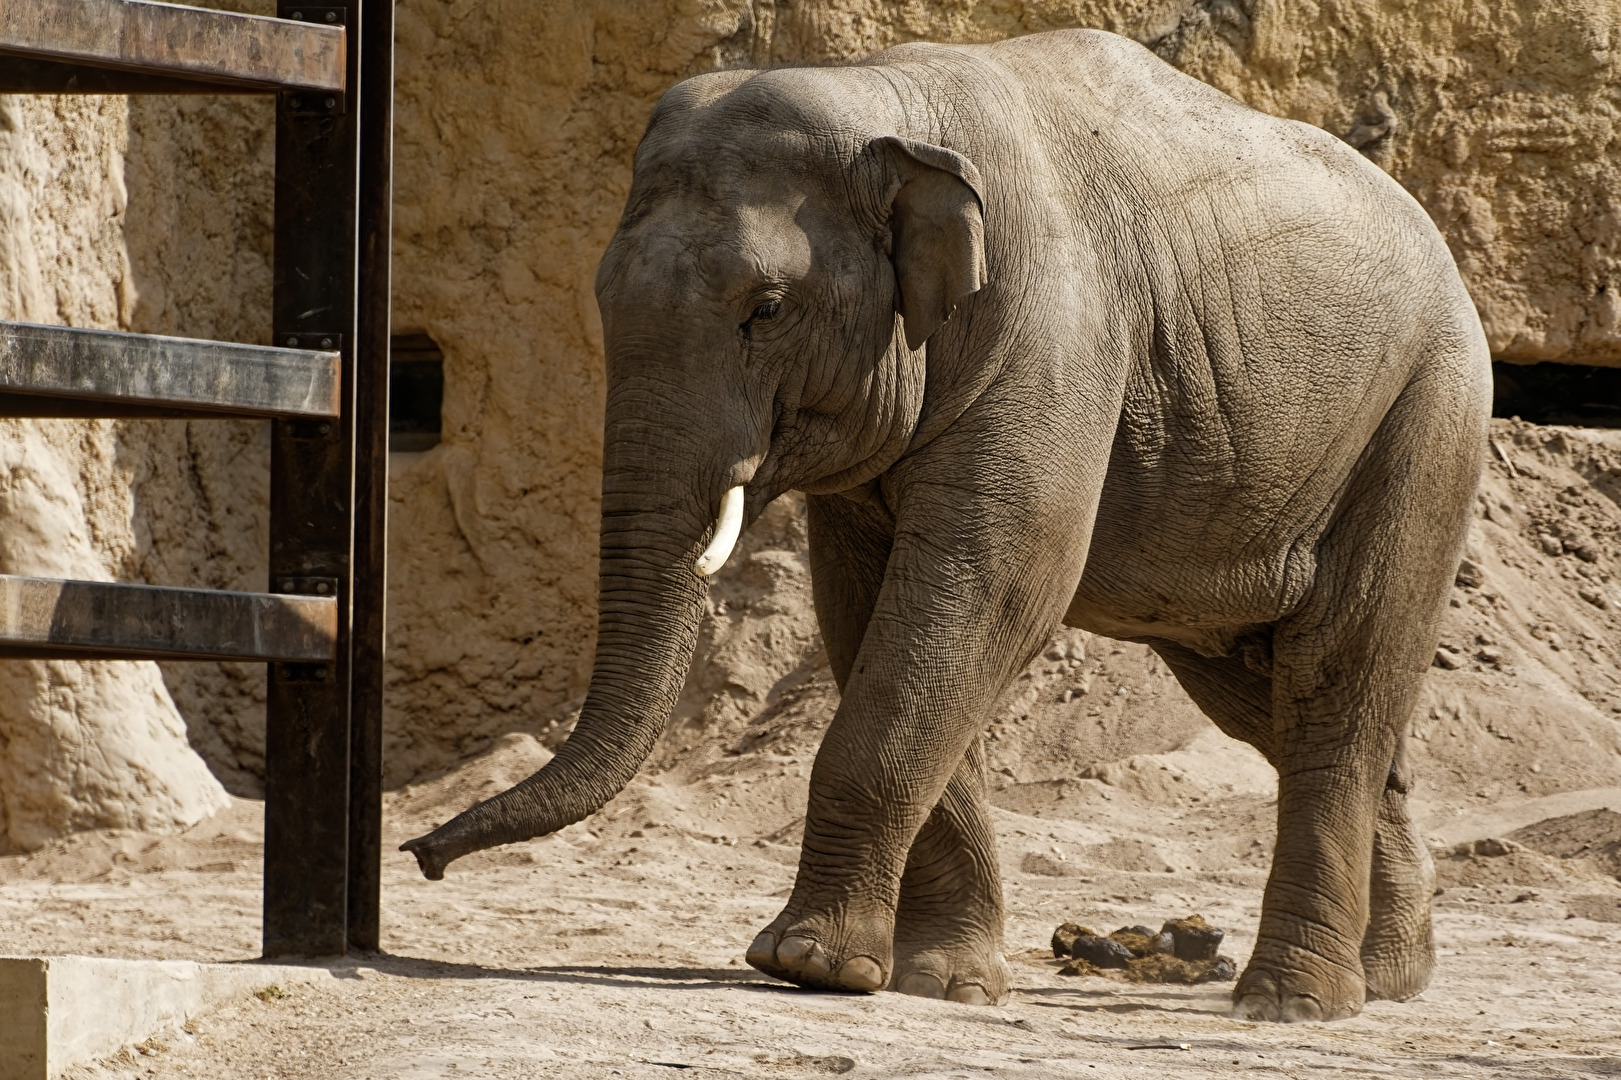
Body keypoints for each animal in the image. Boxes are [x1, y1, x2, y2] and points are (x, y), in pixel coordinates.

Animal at [402, 28, 1490, 1022]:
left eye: (766, 307)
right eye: (598, 294)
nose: (420, 855)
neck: (886, 99)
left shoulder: (1053, 331)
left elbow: (991, 585)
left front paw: (803, 964)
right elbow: (869, 611)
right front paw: (934, 982)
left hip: (1425, 421)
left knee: (1335, 672)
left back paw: (1291, 1004)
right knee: (1267, 695)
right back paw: (1391, 977)